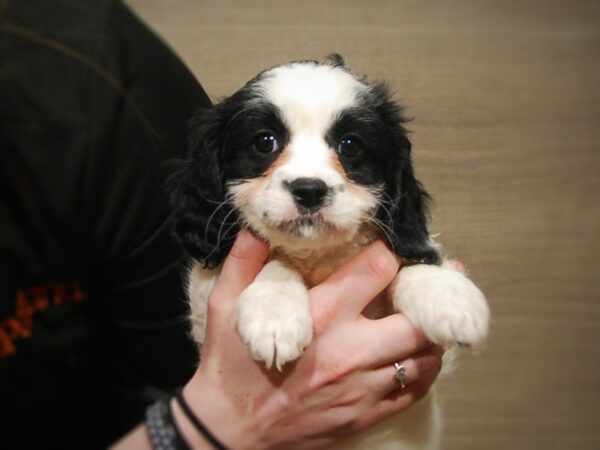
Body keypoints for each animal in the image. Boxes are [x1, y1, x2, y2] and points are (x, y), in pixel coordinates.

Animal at [169, 54, 488, 448]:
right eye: (265, 142)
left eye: (350, 145)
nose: (309, 189)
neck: (317, 256)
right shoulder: (207, 291)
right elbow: (274, 260)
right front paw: (275, 311)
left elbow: (406, 256)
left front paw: (446, 295)